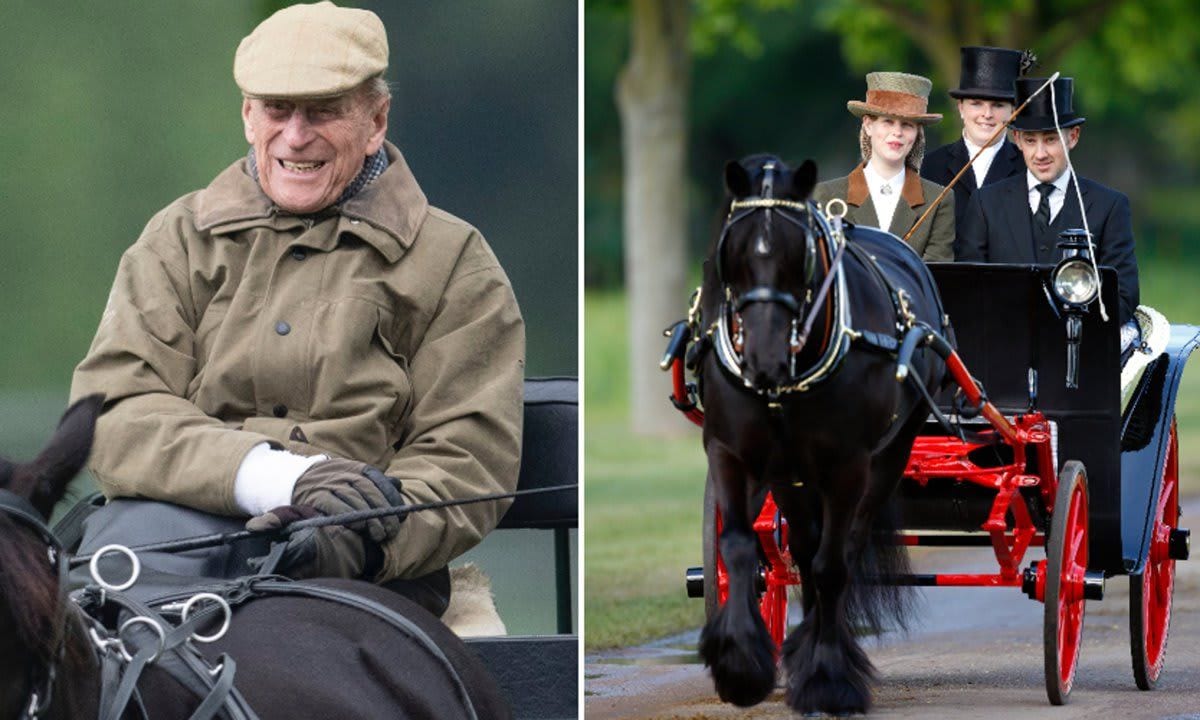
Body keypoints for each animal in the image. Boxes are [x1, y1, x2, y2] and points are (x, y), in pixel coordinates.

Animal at [700, 156, 950, 715]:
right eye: (732, 251)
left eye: (801, 256)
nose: (763, 359)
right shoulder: (732, 451)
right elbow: (739, 546)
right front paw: (740, 667)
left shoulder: (847, 465)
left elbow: (834, 566)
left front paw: (829, 679)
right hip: (791, 472)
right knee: (803, 544)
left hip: (888, 457)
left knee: (844, 549)